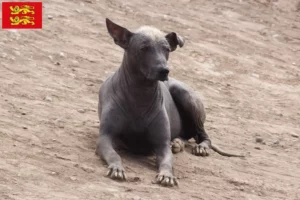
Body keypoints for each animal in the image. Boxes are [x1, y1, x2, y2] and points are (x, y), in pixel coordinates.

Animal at [96, 18, 244, 188]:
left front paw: (167, 176)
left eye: (166, 49)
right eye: (144, 48)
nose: (164, 70)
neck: (140, 95)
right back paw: (178, 143)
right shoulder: (105, 137)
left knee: (202, 135)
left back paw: (198, 147)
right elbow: (114, 155)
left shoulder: (162, 145)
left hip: (186, 96)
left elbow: (167, 162)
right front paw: (117, 168)